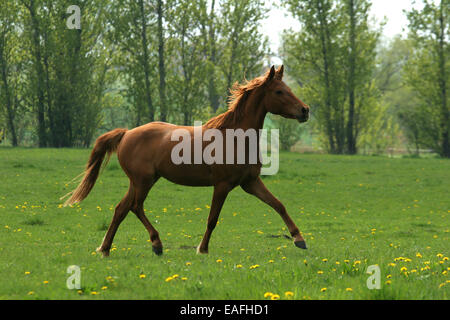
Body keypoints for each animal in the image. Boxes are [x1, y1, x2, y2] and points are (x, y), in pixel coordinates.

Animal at [62, 65, 310, 258]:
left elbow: (278, 204)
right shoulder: (222, 185)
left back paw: (105, 249)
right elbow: (212, 219)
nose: (305, 110)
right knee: (135, 207)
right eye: (279, 91)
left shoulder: (250, 182)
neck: (235, 137)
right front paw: (202, 249)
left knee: (121, 209)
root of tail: (126, 133)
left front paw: (299, 239)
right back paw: (156, 244)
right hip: (143, 181)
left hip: (140, 181)